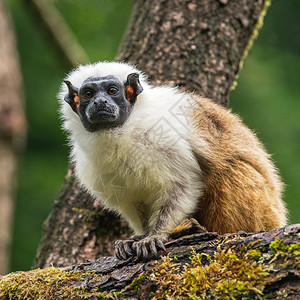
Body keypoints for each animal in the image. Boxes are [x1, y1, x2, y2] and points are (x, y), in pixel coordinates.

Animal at [58, 61, 286, 260]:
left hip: (263, 214)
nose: (100, 102)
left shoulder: (160, 137)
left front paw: (155, 235)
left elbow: (182, 186)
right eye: (88, 94)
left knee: (229, 169)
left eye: (112, 91)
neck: (121, 132)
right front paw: (140, 236)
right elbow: (134, 201)